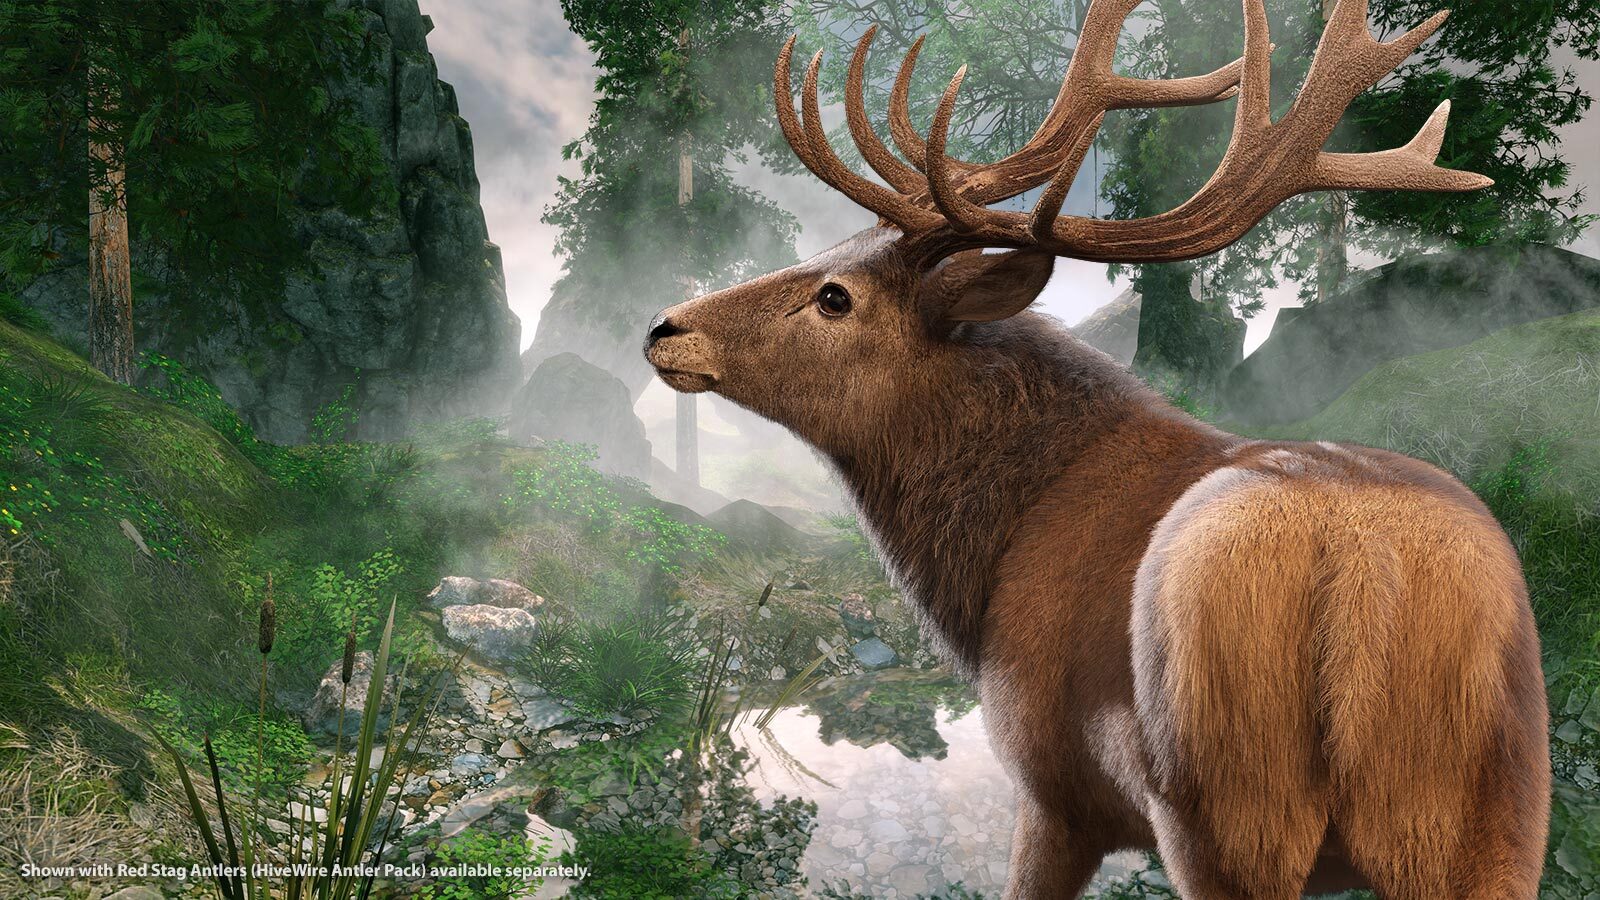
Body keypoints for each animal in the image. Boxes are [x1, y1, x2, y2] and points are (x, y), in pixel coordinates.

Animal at [643, 0, 1550, 896]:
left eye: (835, 297)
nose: (664, 327)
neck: (994, 553)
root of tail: (1361, 574)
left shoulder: (1053, 781)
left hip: (1224, 800)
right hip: (1495, 812)